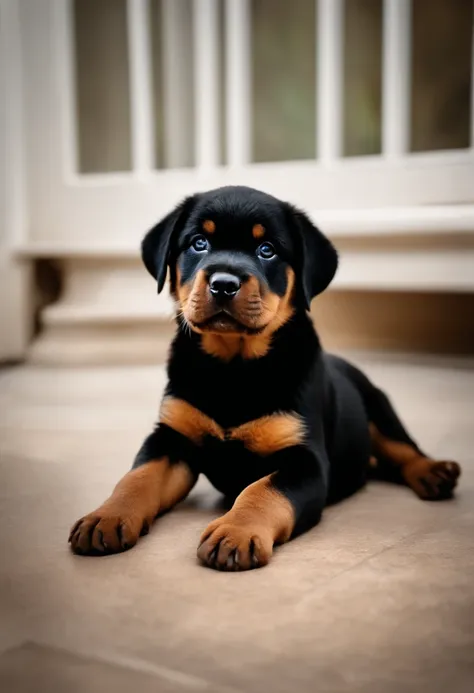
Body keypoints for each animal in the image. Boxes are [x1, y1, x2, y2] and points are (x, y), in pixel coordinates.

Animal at [68, 184, 462, 568]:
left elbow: (262, 490)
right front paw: (106, 516)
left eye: (267, 250)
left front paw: (235, 532)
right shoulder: (171, 436)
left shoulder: (304, 459)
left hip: (378, 406)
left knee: (403, 448)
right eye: (199, 242)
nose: (224, 283)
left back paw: (433, 472)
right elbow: (137, 477)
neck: (233, 365)